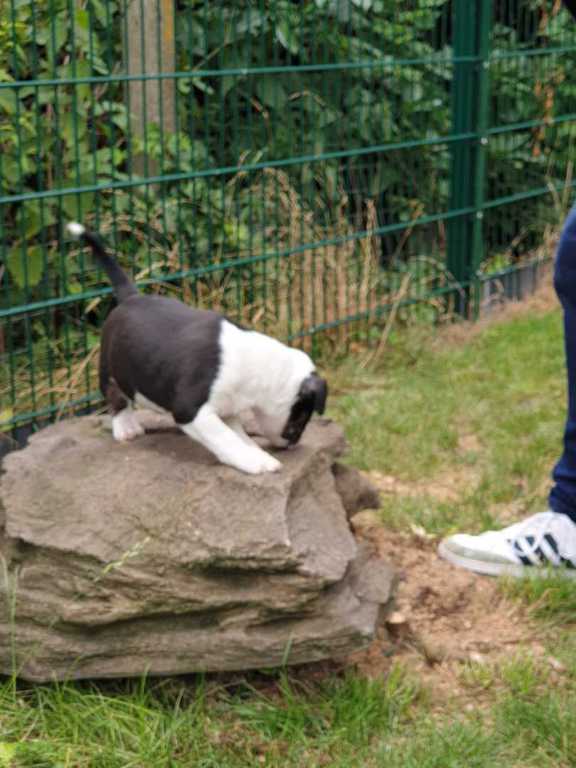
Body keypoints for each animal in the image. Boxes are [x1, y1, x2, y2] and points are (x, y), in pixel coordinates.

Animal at [66, 222, 328, 474]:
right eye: (302, 415)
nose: (293, 444)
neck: (263, 369)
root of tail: (131, 296)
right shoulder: (191, 411)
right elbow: (226, 439)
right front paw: (256, 462)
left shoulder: (228, 410)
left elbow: (239, 436)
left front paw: (256, 452)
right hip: (108, 367)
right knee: (116, 397)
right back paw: (126, 428)